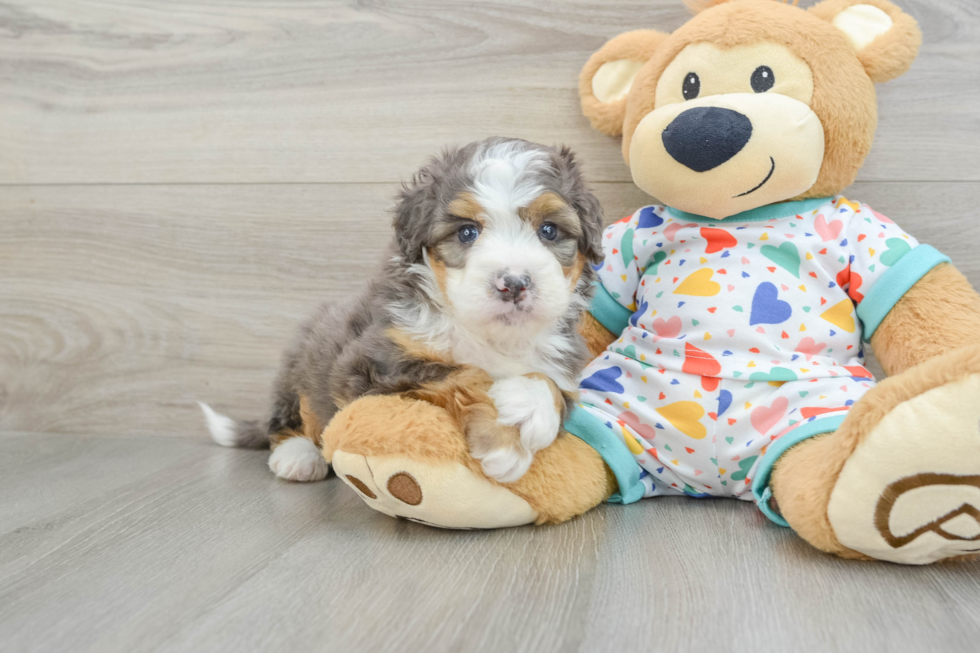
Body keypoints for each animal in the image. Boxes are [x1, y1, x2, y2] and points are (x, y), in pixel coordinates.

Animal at [201, 136, 604, 484]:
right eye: (467, 232)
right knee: (291, 415)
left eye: (549, 230)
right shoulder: (369, 362)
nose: (514, 283)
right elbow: (465, 372)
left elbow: (554, 388)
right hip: (303, 360)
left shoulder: (564, 362)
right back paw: (298, 455)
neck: (490, 335)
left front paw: (528, 407)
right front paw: (503, 441)